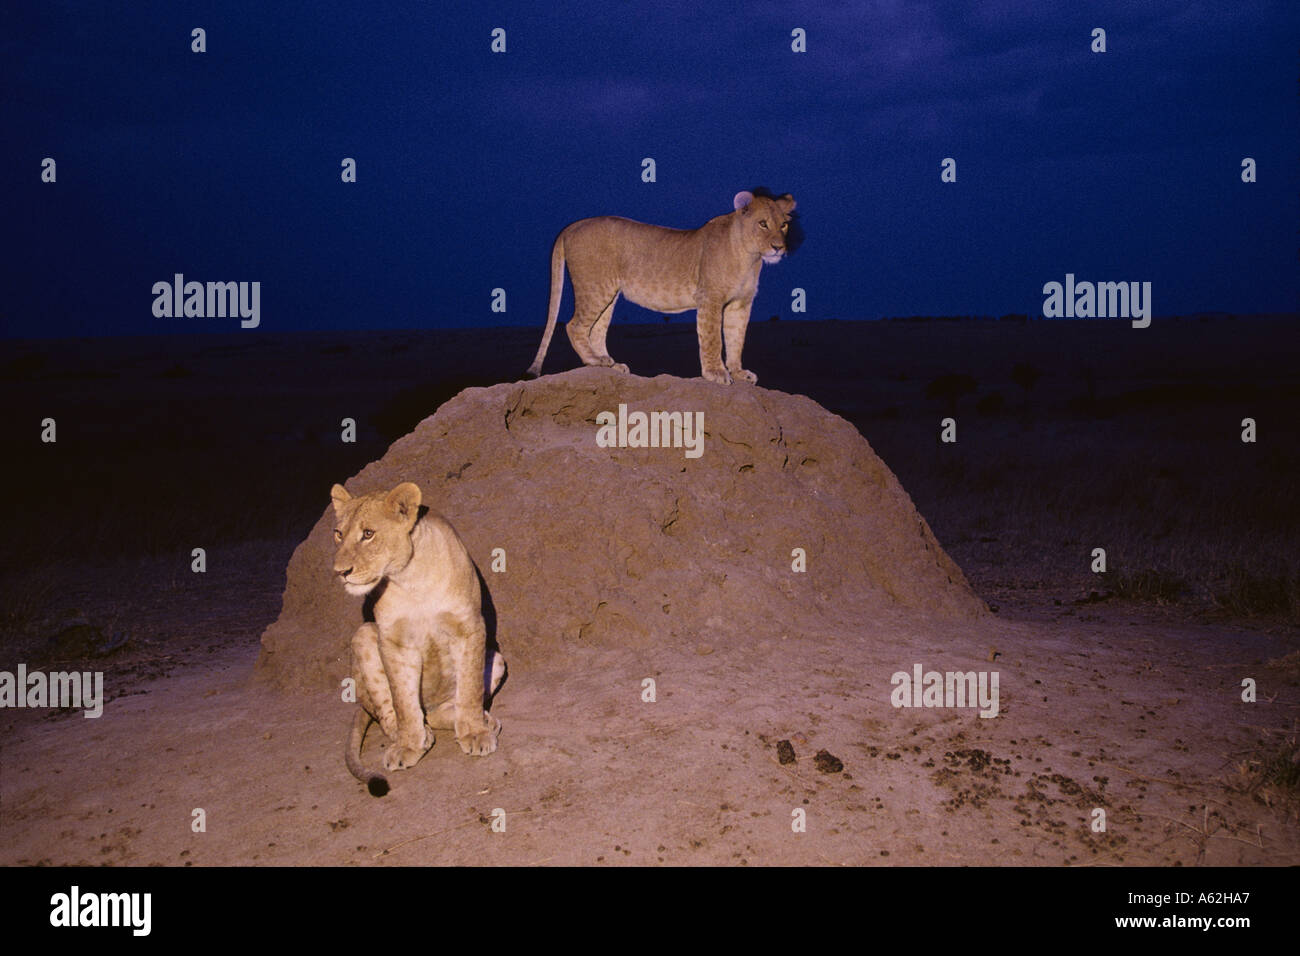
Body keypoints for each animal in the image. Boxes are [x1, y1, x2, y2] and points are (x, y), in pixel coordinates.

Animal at [330, 481, 505, 797]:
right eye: (338, 533)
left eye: (368, 534)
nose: (341, 572)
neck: (412, 580)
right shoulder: (393, 641)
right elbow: (402, 700)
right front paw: (410, 744)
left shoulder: (469, 626)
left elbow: (470, 689)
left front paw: (475, 732)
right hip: (364, 636)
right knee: (393, 715)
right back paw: (415, 735)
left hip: (495, 658)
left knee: (446, 707)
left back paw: (482, 720)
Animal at [525, 190, 797, 385]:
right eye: (762, 224)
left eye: (783, 225)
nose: (778, 248)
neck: (749, 257)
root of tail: (573, 225)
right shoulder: (710, 298)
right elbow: (712, 339)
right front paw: (716, 374)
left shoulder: (740, 305)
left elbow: (736, 339)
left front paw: (739, 373)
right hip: (595, 287)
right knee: (574, 326)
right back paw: (595, 360)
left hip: (609, 294)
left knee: (596, 331)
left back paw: (610, 364)